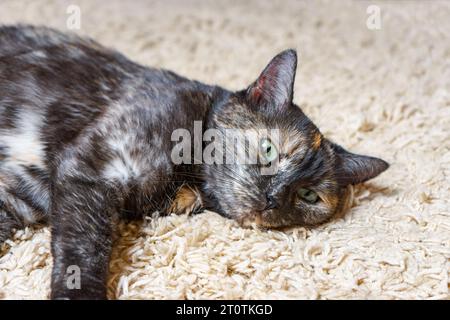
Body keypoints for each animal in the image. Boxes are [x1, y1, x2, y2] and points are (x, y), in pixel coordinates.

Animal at [0, 25, 386, 300]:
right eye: (268, 149)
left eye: (308, 196)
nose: (273, 198)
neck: (190, 177)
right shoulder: (94, 167)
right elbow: (84, 252)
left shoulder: (29, 194)